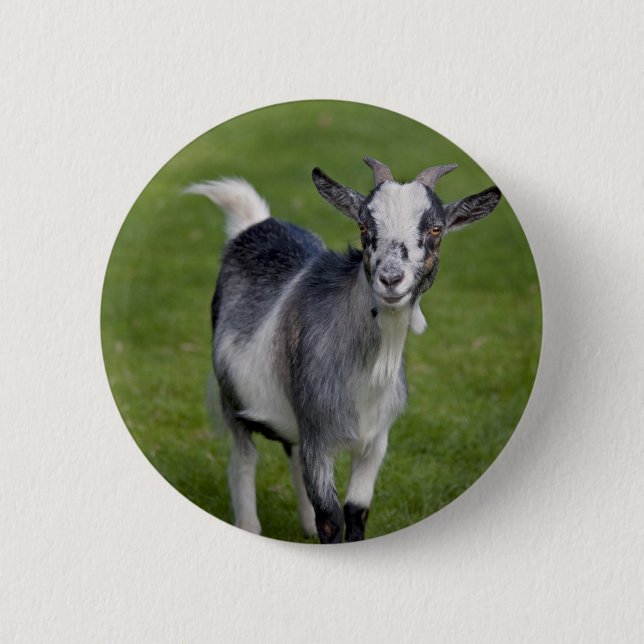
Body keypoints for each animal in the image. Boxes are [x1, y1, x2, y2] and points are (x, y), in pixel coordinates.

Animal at [187, 158, 501, 543]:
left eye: (436, 229)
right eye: (364, 225)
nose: (391, 279)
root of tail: (255, 224)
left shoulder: (375, 439)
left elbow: (355, 513)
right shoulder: (318, 435)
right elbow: (331, 518)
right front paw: (319, 525)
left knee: (291, 454)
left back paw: (304, 526)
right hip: (234, 401)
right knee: (243, 460)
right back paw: (250, 525)